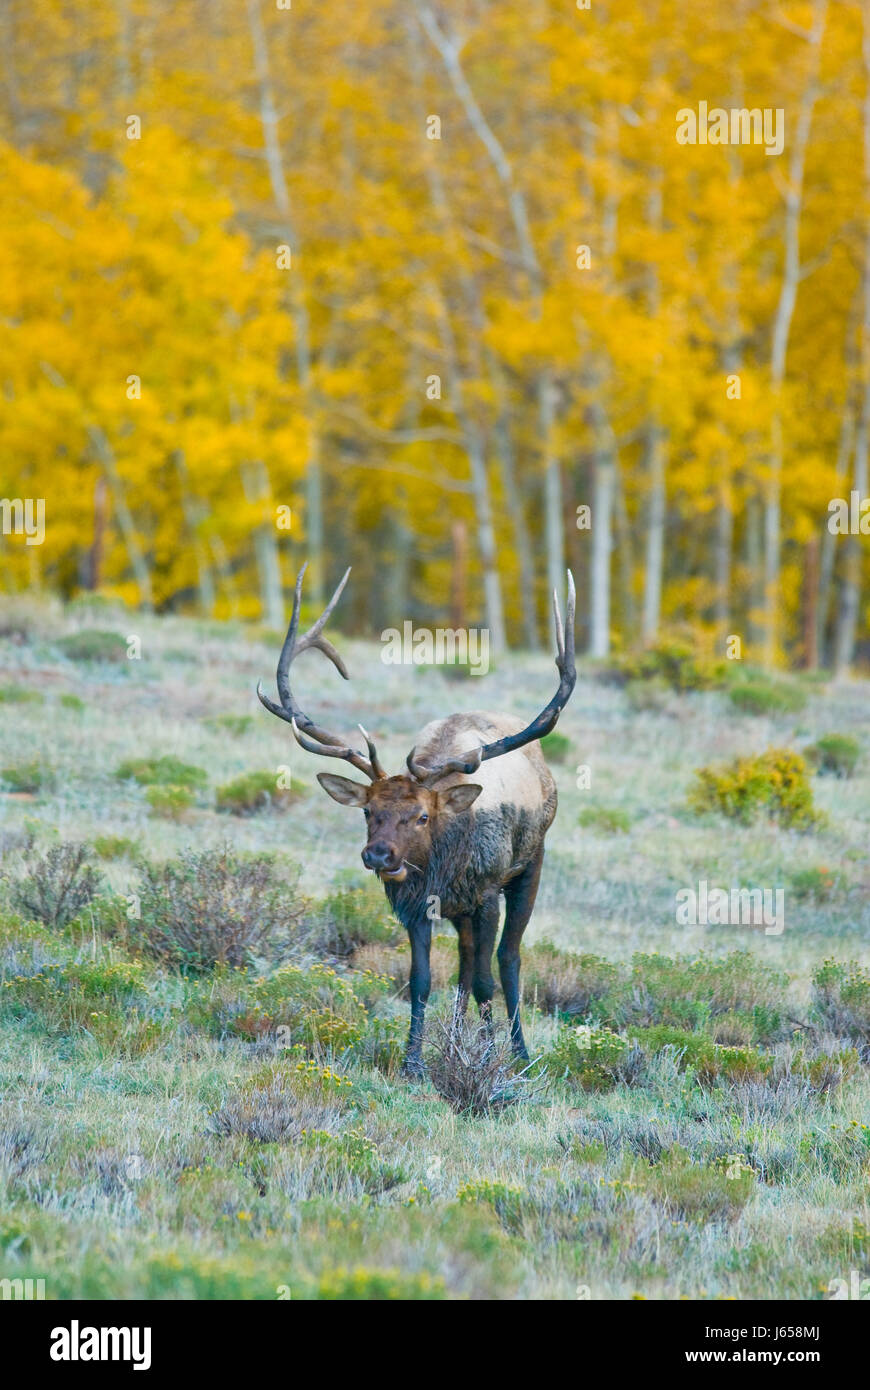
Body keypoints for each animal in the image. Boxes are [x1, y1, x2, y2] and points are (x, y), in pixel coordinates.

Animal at [258, 564, 575, 1073]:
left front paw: (488, 1060)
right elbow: (421, 979)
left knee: (508, 958)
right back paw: (459, 1040)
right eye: (369, 810)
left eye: (423, 815)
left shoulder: (486, 892)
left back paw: (519, 1052)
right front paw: (413, 1062)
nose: (378, 855)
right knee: (466, 959)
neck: (444, 863)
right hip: (462, 909)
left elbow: (487, 978)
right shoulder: (414, 904)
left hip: (531, 862)